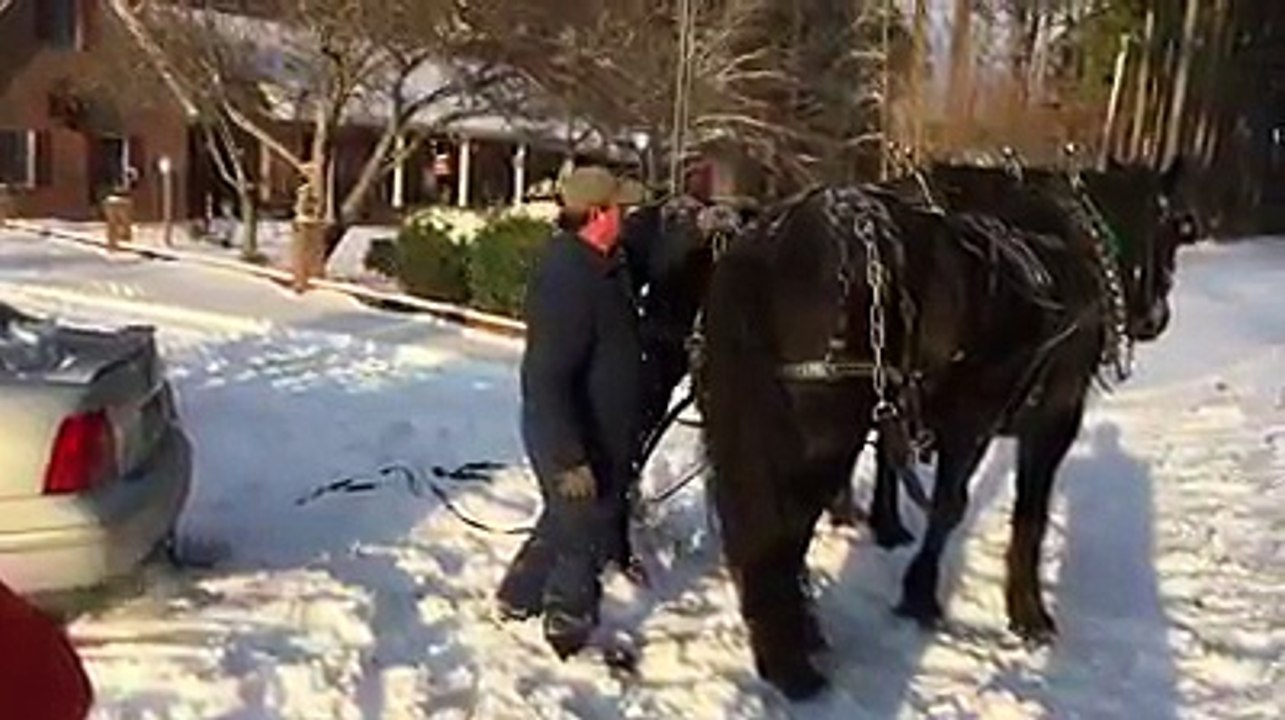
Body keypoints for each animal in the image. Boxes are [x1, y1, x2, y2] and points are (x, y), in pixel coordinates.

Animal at [694, 160, 1189, 699]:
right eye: (1171, 228)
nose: (1157, 317)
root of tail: (770, 245)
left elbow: (903, 471)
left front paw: (893, 536)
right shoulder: (1039, 418)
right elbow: (1001, 513)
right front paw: (1003, 608)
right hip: (820, 441)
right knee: (778, 535)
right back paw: (794, 664)